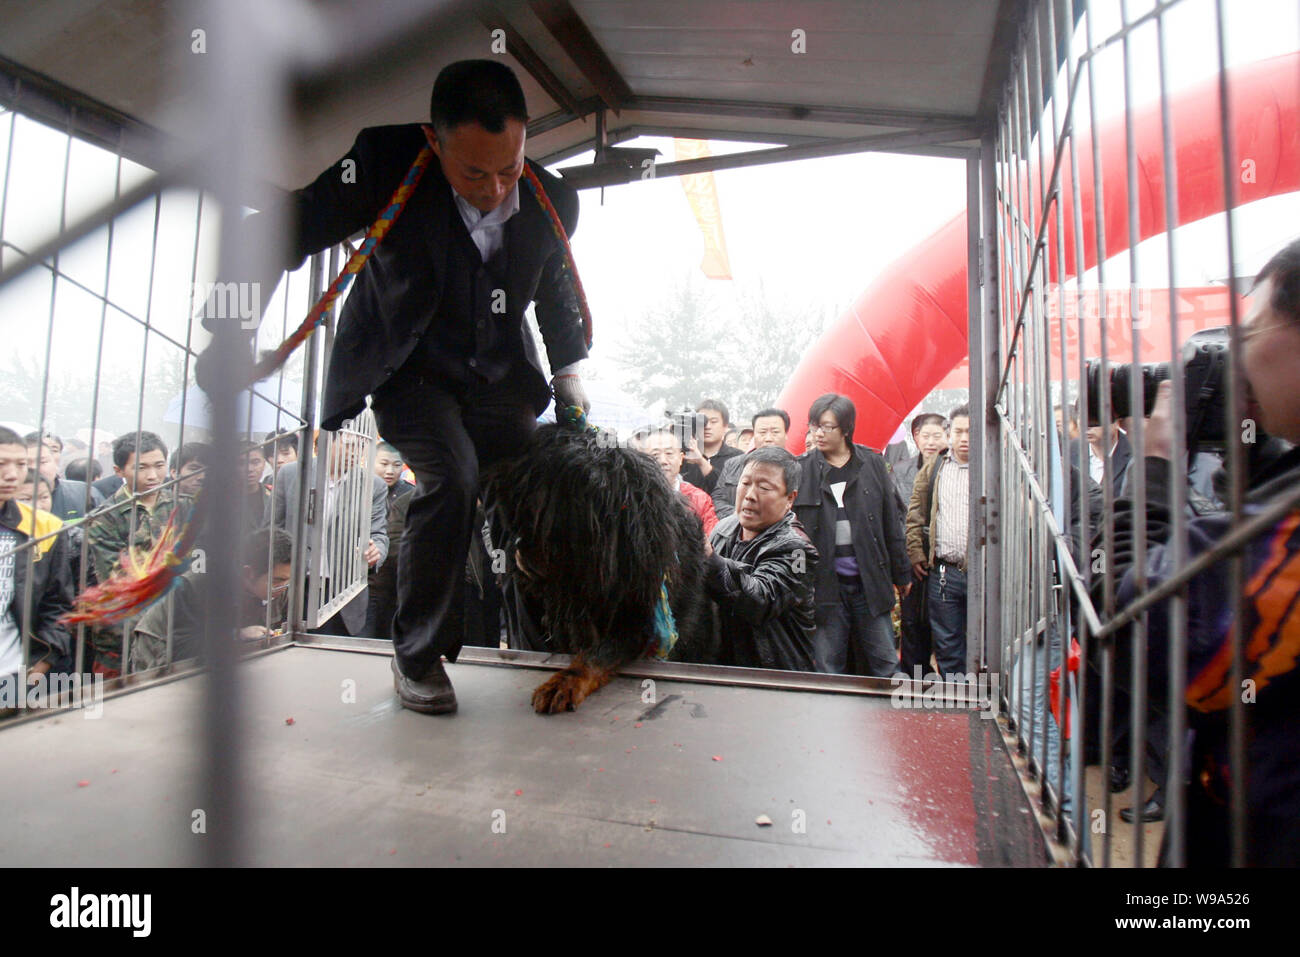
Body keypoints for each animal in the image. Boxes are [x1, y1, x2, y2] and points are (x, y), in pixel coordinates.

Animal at [483, 423, 712, 712]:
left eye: (556, 519)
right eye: (528, 511)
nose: (518, 545)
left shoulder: (640, 622)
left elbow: (599, 654)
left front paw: (568, 679)